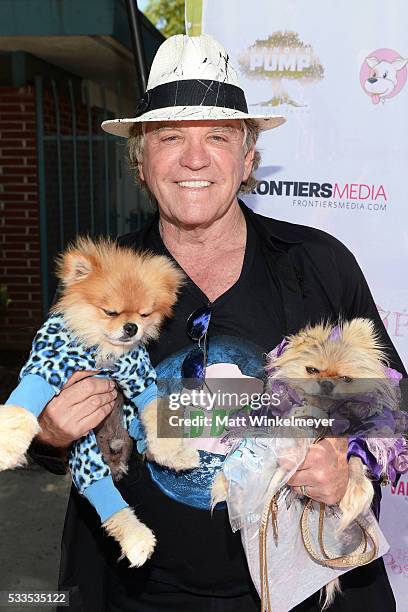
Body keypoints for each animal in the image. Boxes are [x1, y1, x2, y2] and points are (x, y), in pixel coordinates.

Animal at [0, 237, 199, 568]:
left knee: (146, 444)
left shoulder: (139, 378)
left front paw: (172, 450)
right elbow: (21, 408)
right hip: (85, 450)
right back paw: (137, 540)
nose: (132, 327)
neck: (103, 350)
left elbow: (155, 410)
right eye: (111, 312)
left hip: (128, 424)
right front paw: (7, 446)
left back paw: (179, 457)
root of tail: (116, 456)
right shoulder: (47, 366)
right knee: (104, 494)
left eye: (144, 315)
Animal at [212, 320, 396, 608]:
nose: (326, 383)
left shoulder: (358, 437)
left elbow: (356, 465)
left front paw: (354, 496)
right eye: (311, 370)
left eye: (346, 379)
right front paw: (224, 484)